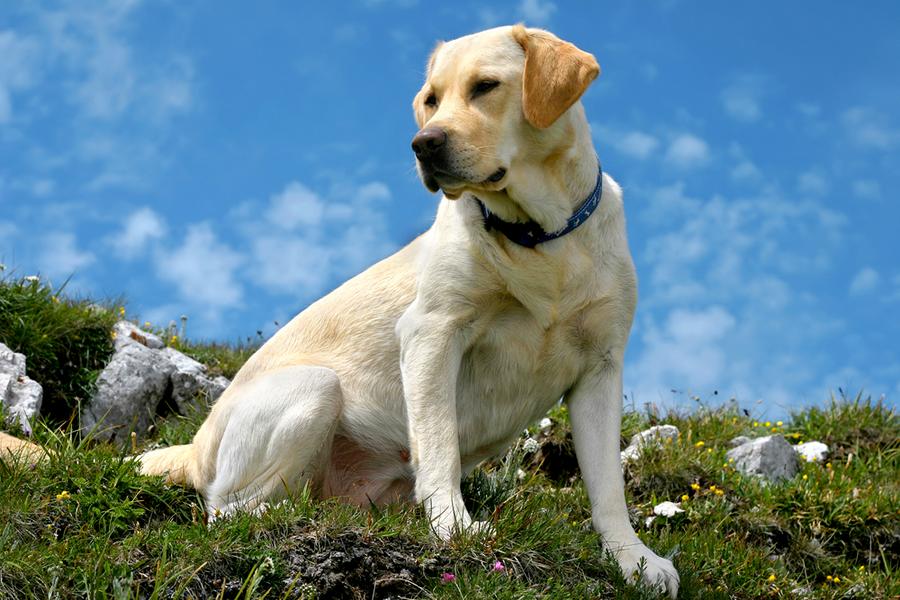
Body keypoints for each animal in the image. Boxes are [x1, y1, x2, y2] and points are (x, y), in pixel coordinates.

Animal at [3, 25, 680, 596]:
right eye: (431, 99)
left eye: (485, 87)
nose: (423, 145)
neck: (541, 239)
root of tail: (191, 447)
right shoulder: (432, 334)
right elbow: (439, 449)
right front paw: (457, 530)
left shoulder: (600, 369)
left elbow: (608, 489)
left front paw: (634, 561)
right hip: (314, 388)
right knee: (228, 511)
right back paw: (281, 518)